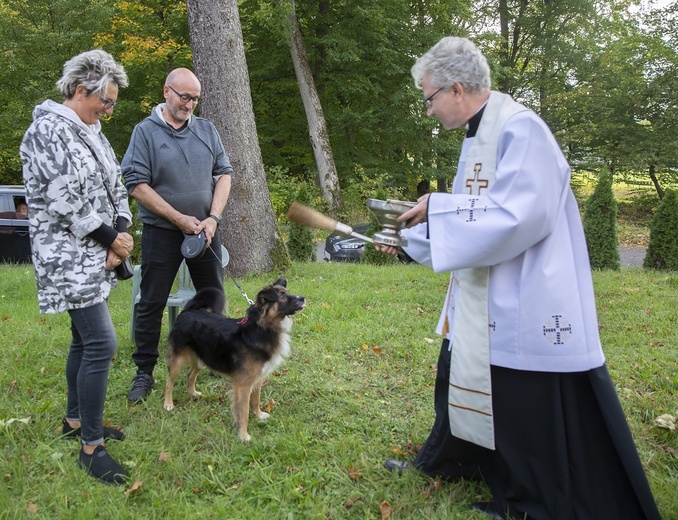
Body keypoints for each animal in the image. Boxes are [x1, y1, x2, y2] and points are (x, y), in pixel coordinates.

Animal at [164, 278, 306, 440]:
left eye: (288, 292)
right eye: (281, 296)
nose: (302, 298)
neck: (260, 329)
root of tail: (188, 311)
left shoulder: (257, 378)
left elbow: (255, 400)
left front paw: (258, 416)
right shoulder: (244, 384)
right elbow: (243, 412)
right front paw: (243, 435)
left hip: (203, 357)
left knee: (190, 374)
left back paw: (192, 392)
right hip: (178, 360)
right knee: (169, 382)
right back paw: (168, 403)